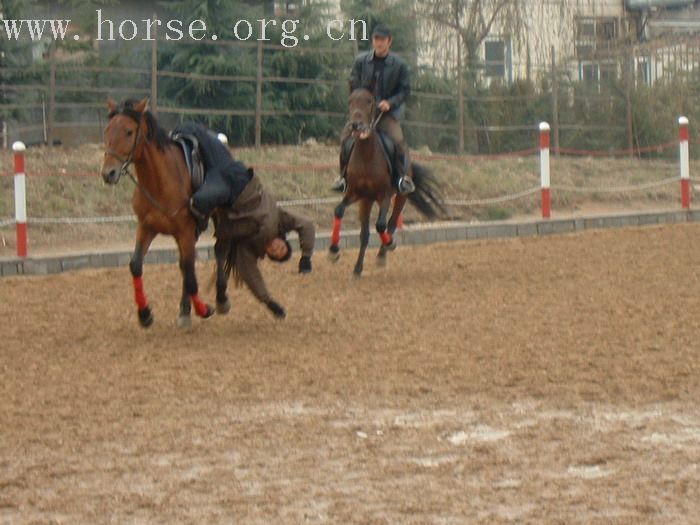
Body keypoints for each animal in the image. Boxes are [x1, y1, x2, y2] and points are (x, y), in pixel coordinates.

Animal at [100, 96, 212, 328]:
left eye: (129, 131)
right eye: (107, 130)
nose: (108, 173)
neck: (159, 182)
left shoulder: (185, 232)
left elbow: (189, 273)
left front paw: (203, 309)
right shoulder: (146, 226)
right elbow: (136, 265)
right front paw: (145, 314)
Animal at [330, 87, 448, 274]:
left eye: (369, 101)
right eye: (350, 101)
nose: (355, 125)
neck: (366, 156)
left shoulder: (384, 194)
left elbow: (381, 225)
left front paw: (389, 245)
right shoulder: (355, 193)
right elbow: (339, 210)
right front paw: (334, 251)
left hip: (400, 197)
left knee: (390, 223)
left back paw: (383, 253)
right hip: (366, 200)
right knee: (364, 233)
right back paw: (358, 268)